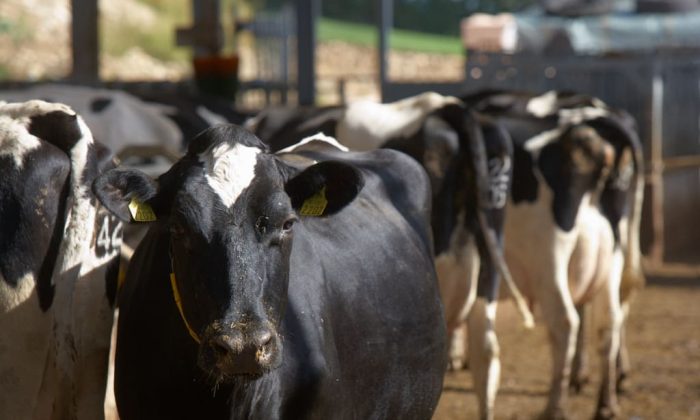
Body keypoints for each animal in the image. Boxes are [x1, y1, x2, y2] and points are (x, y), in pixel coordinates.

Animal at [461, 89, 646, 419]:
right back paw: (606, 401)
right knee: (610, 317)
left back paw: (556, 406)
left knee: (565, 321)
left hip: (551, 257)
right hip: (611, 251)